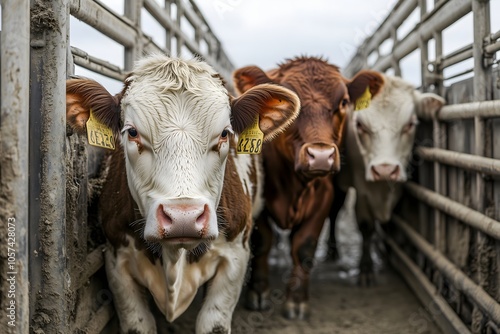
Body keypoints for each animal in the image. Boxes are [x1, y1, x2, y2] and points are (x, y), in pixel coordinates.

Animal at [66, 53, 300, 332]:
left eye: (225, 133)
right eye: (132, 132)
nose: (183, 217)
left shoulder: (235, 257)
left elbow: (213, 322)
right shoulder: (116, 261)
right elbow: (137, 322)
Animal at [234, 56, 382, 318]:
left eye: (344, 102)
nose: (321, 156)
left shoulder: (323, 198)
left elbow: (304, 246)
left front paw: (296, 300)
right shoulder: (258, 197)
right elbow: (262, 242)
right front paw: (258, 291)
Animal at [328, 73, 446, 284]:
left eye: (410, 124)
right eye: (360, 125)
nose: (384, 170)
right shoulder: (362, 191)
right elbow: (366, 227)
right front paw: (366, 268)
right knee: (334, 212)